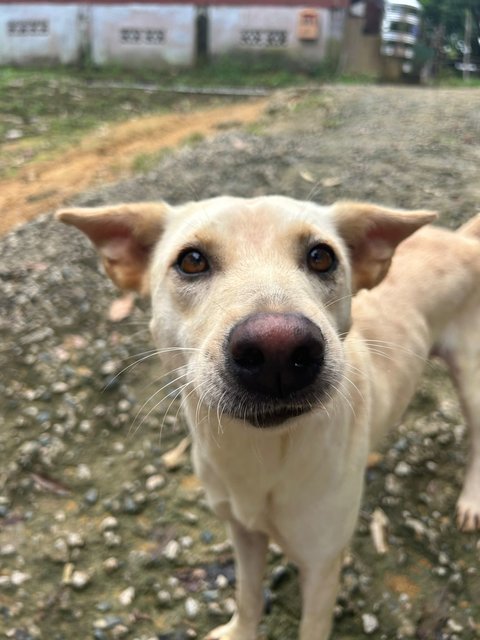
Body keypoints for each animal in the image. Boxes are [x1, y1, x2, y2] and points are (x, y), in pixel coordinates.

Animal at [57, 196, 480, 640]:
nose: (278, 349)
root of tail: (462, 239)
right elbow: (247, 595)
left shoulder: (321, 566)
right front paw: (239, 631)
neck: (262, 455)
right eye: (191, 260)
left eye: (321, 256)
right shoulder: (242, 533)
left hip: (471, 378)